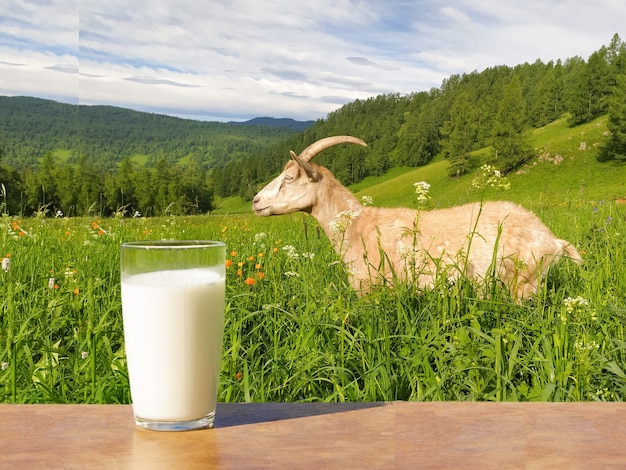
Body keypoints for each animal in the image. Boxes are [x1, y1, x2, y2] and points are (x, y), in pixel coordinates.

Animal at [251, 136, 584, 298]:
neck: (357, 225)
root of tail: (554, 241)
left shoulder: (370, 288)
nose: (255, 201)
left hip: (522, 284)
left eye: (289, 178)